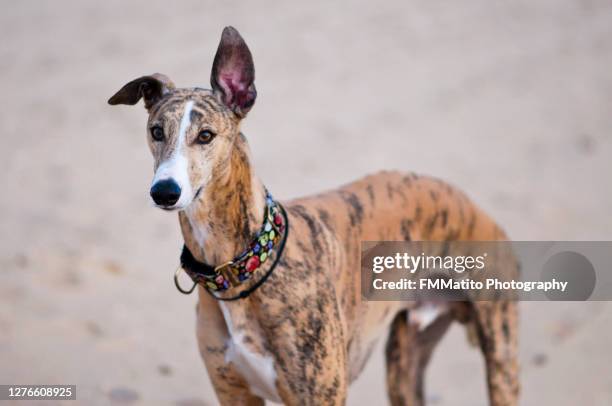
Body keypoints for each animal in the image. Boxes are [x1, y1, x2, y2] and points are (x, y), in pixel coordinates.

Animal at [109, 27, 516, 404]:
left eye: (206, 135)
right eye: (156, 131)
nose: (164, 191)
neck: (244, 265)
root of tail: (477, 210)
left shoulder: (320, 394)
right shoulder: (234, 392)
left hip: (500, 358)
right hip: (405, 364)